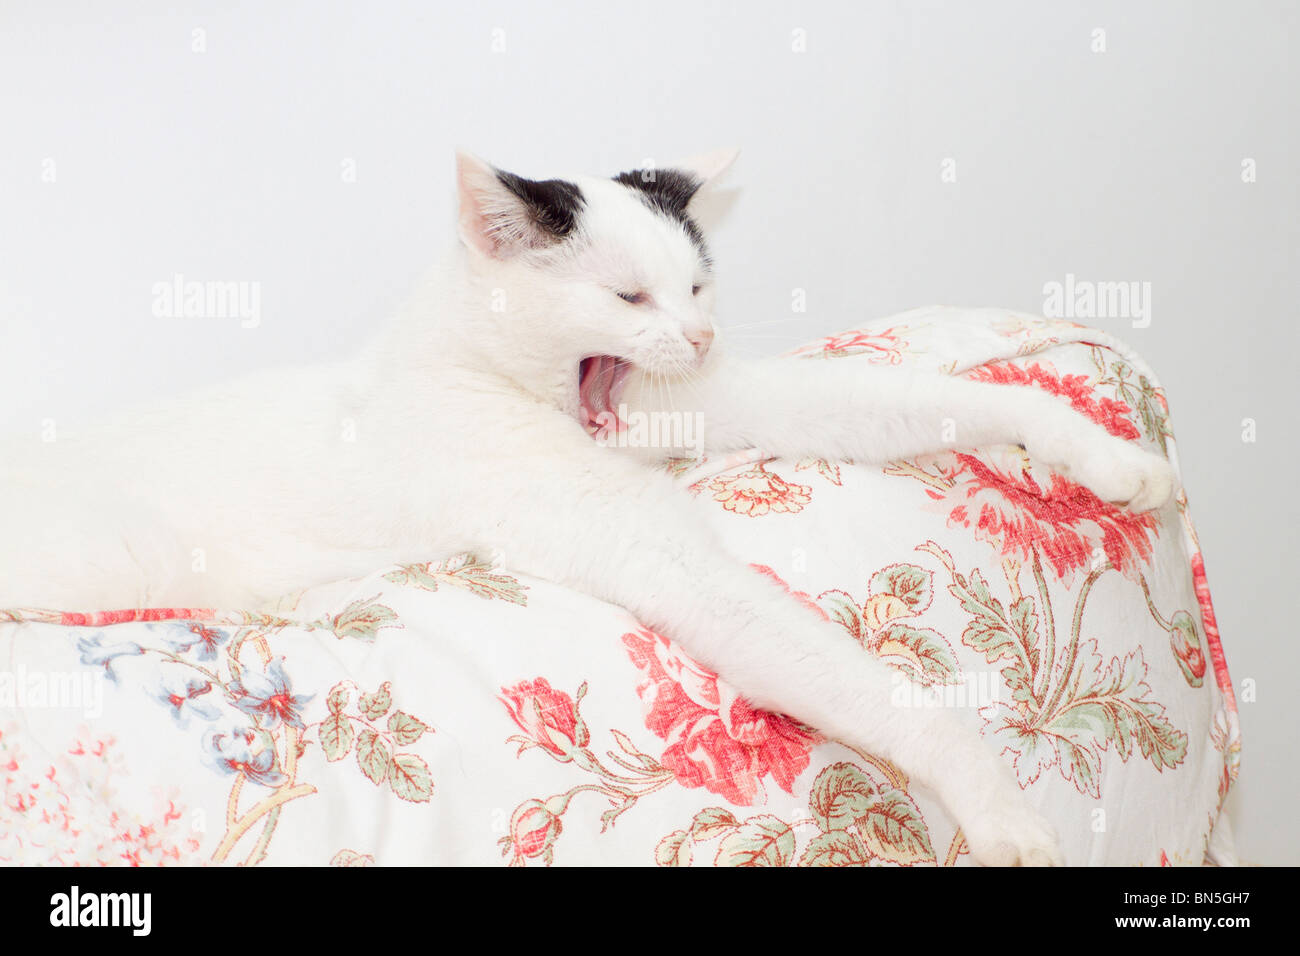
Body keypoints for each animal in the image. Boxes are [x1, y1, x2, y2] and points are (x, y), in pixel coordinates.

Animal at [0, 149, 1180, 868]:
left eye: (698, 285)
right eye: (627, 297)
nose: (699, 337)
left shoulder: (723, 401)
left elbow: (927, 396)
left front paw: (1102, 455)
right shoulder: (673, 561)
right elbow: (873, 690)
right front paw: (1001, 810)